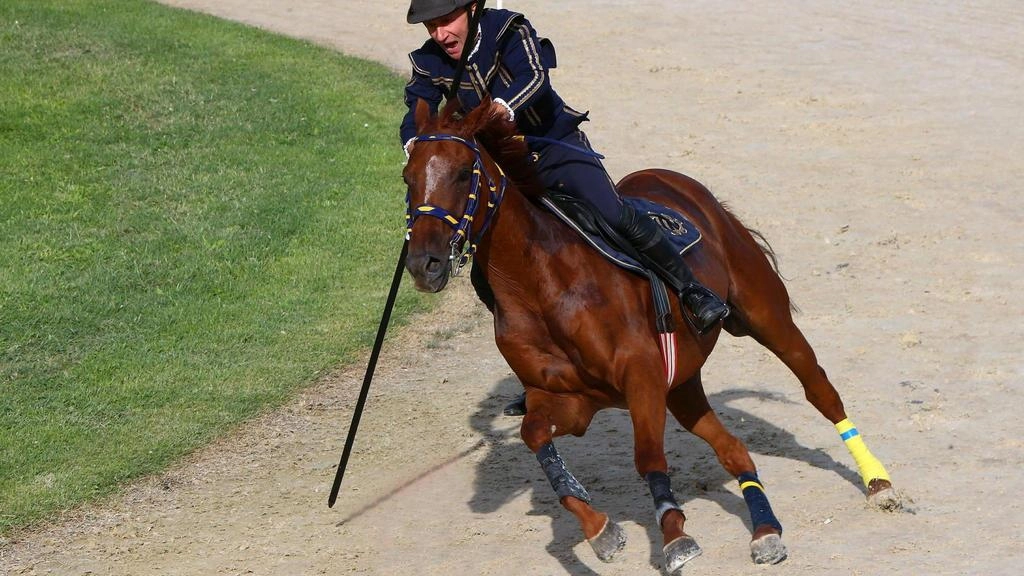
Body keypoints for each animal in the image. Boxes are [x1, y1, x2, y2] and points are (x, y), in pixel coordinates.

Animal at [403, 98, 901, 569]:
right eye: (408, 177)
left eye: (463, 173)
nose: (424, 264)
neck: (542, 286)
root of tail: (677, 181)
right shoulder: (569, 400)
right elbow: (535, 435)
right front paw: (601, 531)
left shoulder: (640, 377)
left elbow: (649, 458)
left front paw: (674, 536)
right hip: (682, 383)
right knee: (734, 450)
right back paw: (765, 532)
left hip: (768, 319)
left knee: (820, 390)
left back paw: (878, 482)